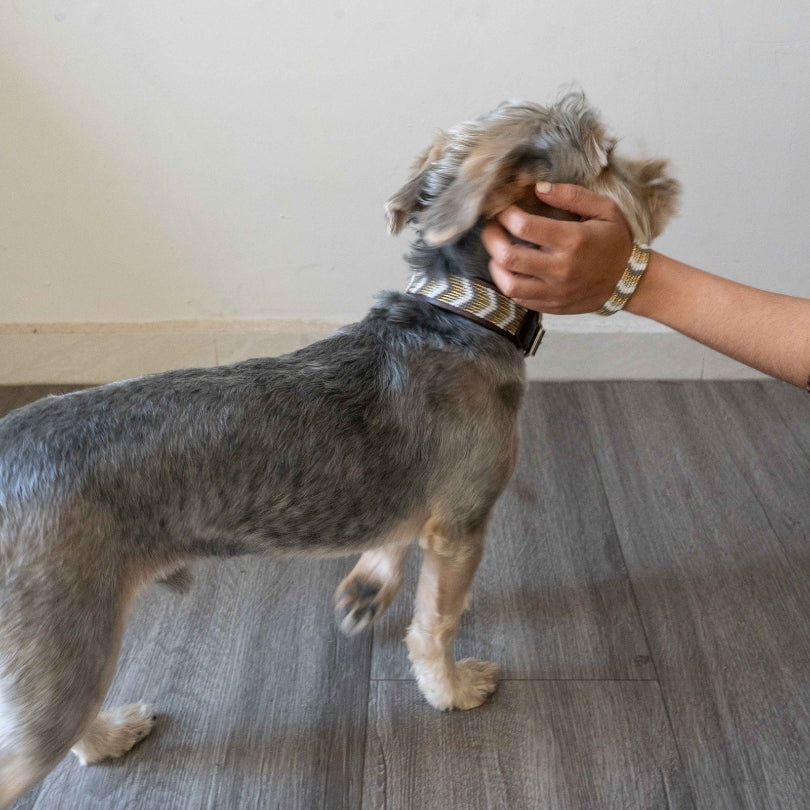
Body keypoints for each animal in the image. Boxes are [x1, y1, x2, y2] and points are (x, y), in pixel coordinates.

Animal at [0, 91, 680, 804]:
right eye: (607, 157)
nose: (665, 181)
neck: (465, 314)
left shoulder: (414, 501)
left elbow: (393, 537)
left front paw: (367, 589)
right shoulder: (463, 518)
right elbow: (436, 623)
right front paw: (453, 688)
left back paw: (109, 735)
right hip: (62, 631)